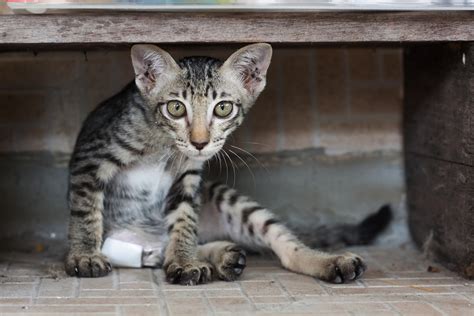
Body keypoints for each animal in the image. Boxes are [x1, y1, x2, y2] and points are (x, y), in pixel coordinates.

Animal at [66, 43, 392, 284]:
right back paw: (221, 256)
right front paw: (84, 255)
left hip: (230, 201)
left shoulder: (188, 179)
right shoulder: (90, 158)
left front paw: (184, 260)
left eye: (222, 108)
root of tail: (146, 244)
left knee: (287, 248)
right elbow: (85, 212)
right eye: (175, 108)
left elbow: (184, 222)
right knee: (161, 253)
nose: (199, 142)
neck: (162, 144)